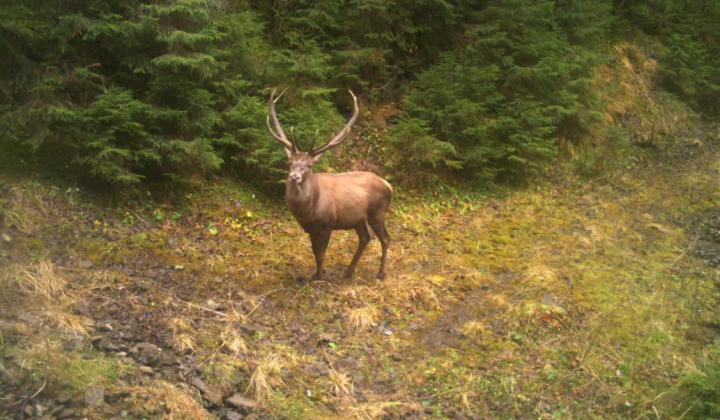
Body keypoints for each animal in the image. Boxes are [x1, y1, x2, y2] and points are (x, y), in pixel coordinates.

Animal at [267, 88, 392, 281]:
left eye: (308, 166)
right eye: (290, 163)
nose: (294, 177)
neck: (308, 211)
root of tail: (388, 185)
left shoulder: (326, 225)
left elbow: (320, 253)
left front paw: (319, 277)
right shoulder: (310, 228)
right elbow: (314, 251)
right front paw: (319, 272)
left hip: (377, 212)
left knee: (385, 238)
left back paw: (381, 273)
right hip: (358, 218)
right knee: (365, 238)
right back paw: (348, 271)